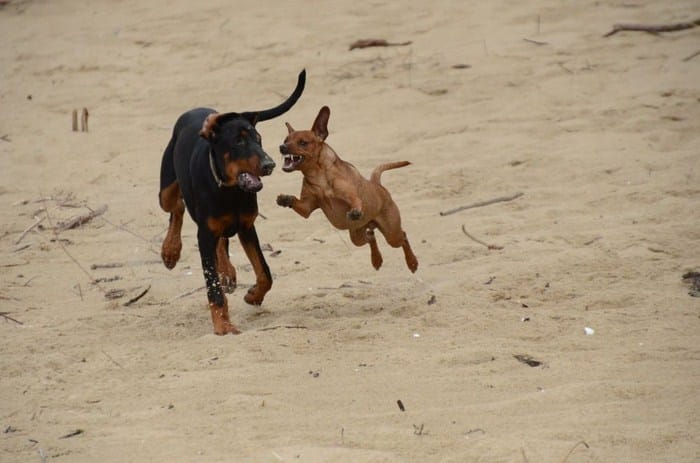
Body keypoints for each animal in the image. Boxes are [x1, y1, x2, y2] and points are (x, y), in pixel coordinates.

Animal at [158, 70, 305, 335]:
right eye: (238, 141)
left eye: (259, 139)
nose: (270, 164)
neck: (230, 191)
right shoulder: (204, 235)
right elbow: (214, 290)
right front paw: (224, 326)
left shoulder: (247, 226)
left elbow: (265, 272)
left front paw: (254, 295)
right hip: (166, 190)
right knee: (176, 206)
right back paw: (170, 251)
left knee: (220, 238)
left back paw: (226, 272)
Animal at [276, 105, 418, 273]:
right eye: (285, 140)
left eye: (303, 142)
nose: (282, 147)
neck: (319, 177)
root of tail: (378, 185)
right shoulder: (306, 207)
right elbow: (296, 201)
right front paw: (285, 198)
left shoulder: (351, 196)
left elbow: (355, 201)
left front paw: (355, 211)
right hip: (357, 236)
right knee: (371, 237)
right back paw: (376, 260)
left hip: (391, 234)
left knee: (403, 237)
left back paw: (412, 262)